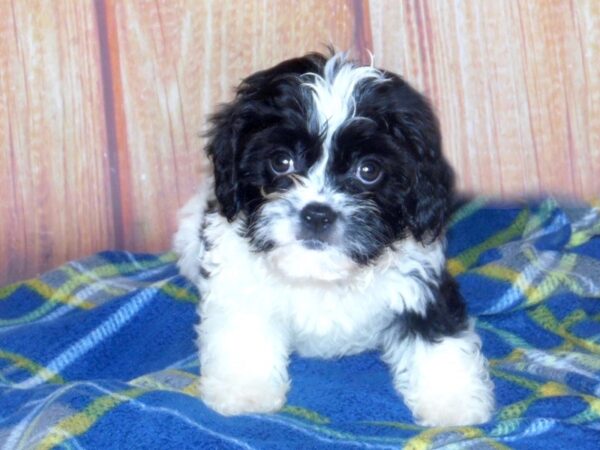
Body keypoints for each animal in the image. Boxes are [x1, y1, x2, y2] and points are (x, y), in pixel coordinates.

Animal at [173, 52, 492, 426]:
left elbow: (437, 336)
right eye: (281, 161)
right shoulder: (238, 283)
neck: (320, 272)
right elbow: (244, 331)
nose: (317, 214)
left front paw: (453, 402)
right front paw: (244, 392)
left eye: (369, 170)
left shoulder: (421, 281)